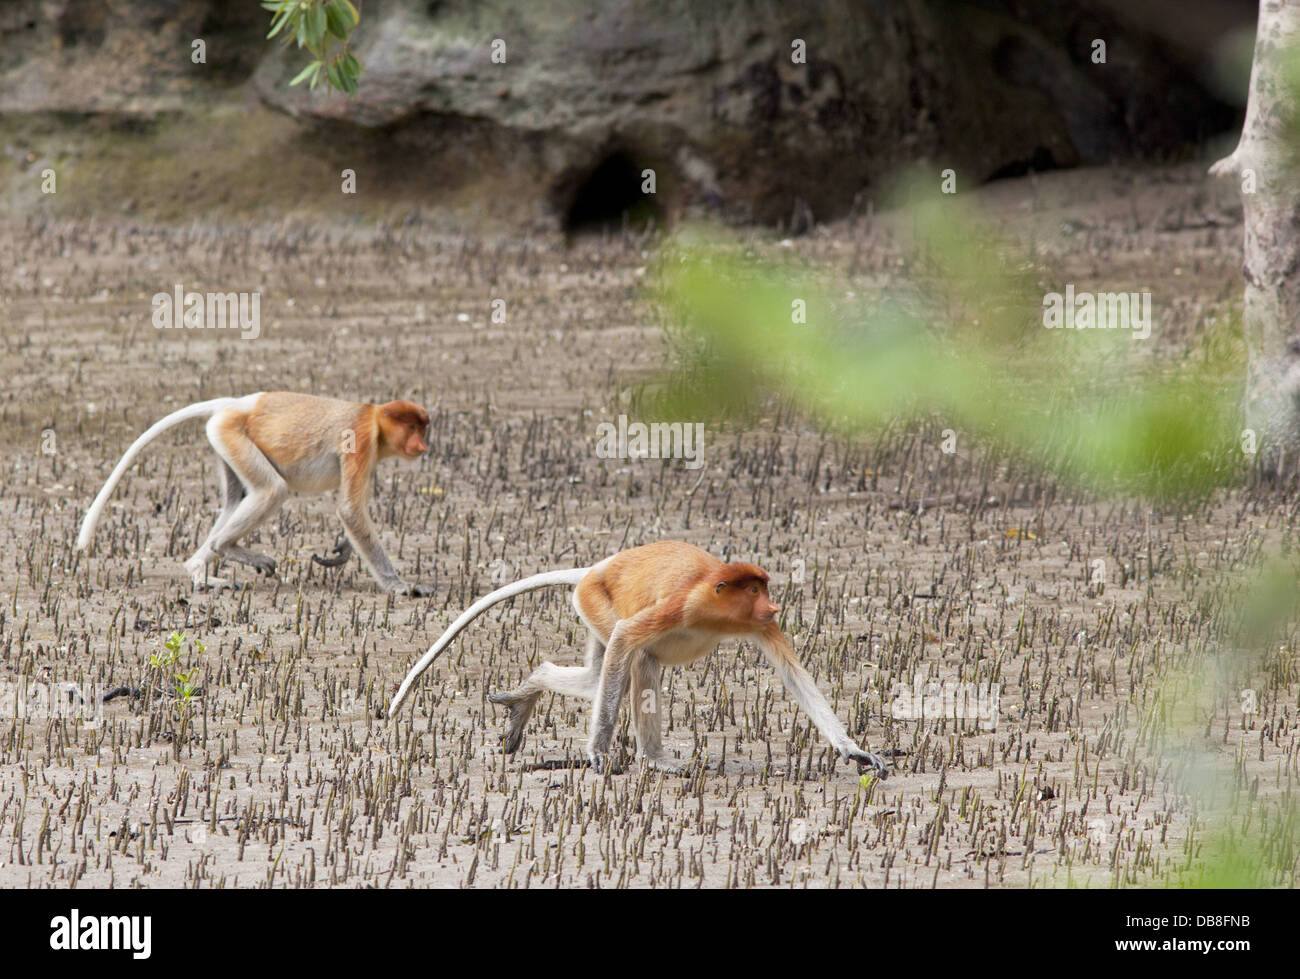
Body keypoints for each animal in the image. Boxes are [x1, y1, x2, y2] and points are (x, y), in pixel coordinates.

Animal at [76, 392, 431, 595]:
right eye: (413, 428)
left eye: (423, 428)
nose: (424, 446)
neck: (374, 417)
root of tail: (236, 404)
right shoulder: (361, 440)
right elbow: (350, 509)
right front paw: (401, 586)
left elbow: (352, 511)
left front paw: (341, 550)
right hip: (232, 434)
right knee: (272, 490)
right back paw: (226, 549)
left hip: (224, 441)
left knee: (234, 502)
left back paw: (200, 573)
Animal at [389, 541, 888, 776]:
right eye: (753, 589)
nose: (774, 604)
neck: (714, 604)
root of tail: (596, 569)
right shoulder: (681, 603)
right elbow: (630, 638)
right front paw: (598, 753)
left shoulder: (758, 625)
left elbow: (794, 676)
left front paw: (855, 751)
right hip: (595, 601)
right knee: (632, 660)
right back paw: (654, 758)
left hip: (592, 610)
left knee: (601, 673)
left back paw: (531, 691)